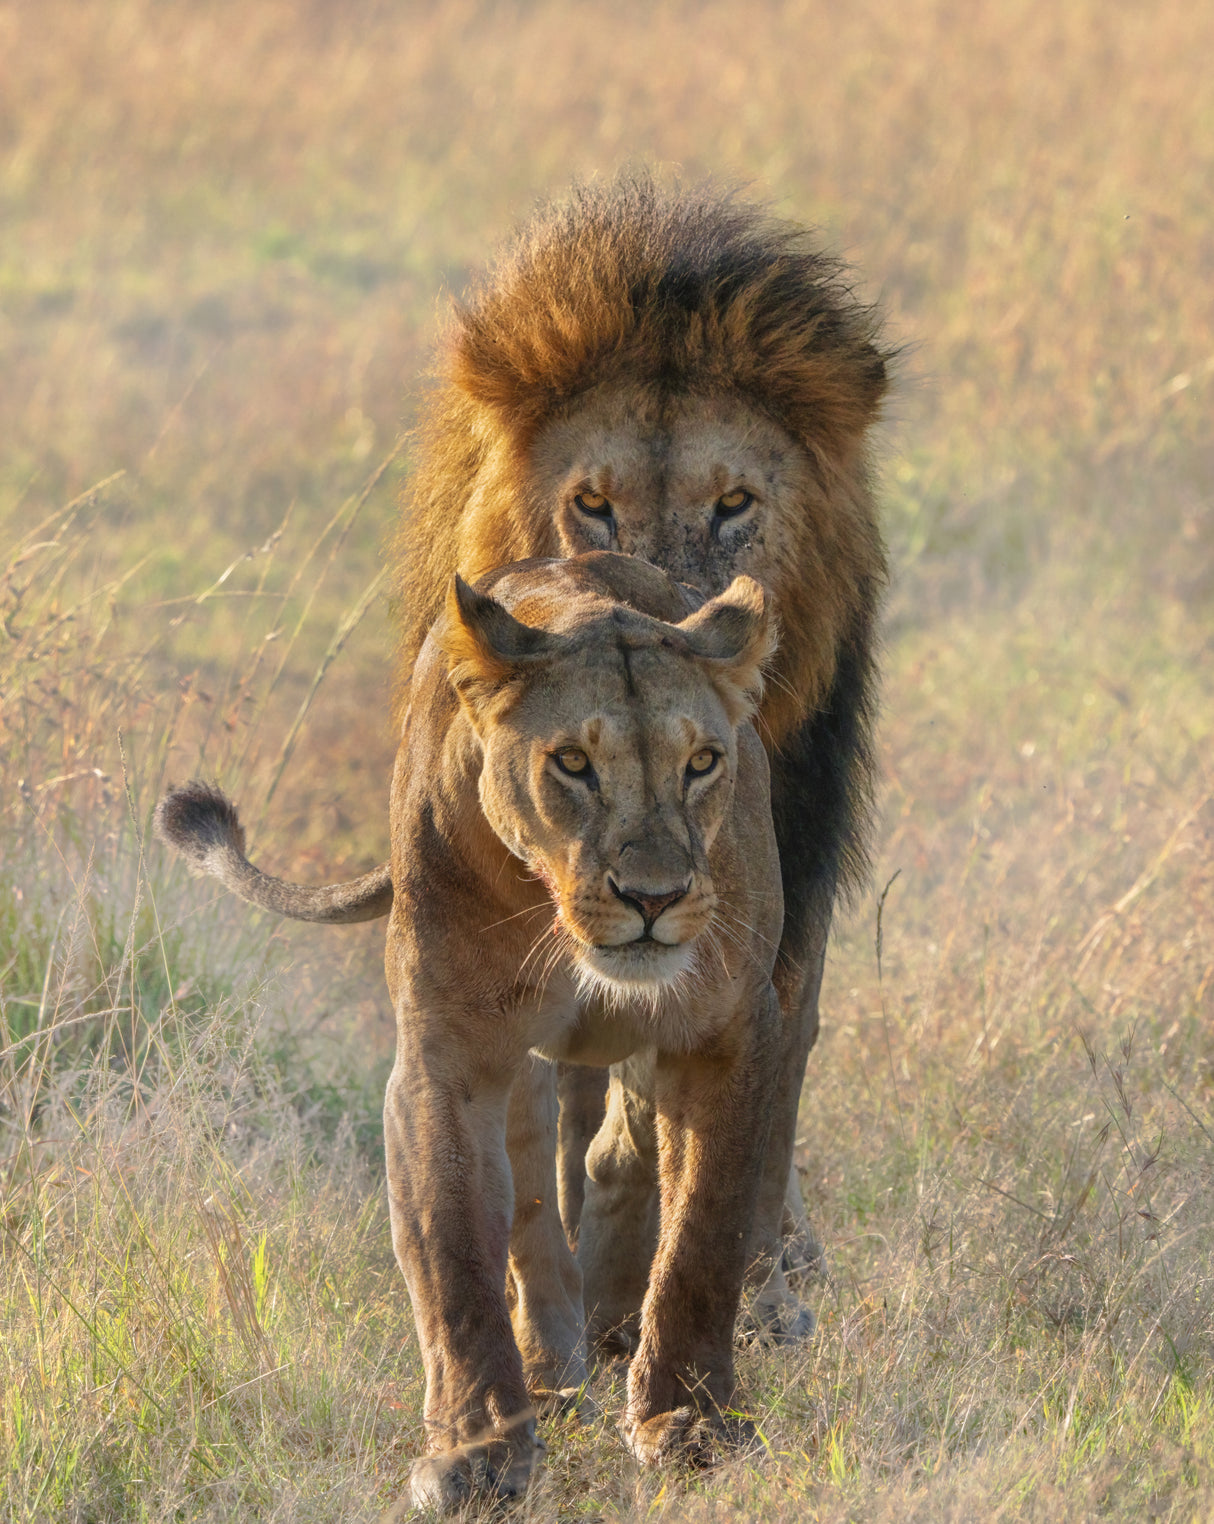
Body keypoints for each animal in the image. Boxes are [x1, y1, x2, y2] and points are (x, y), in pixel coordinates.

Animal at [158, 173, 890, 1340]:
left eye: (733, 505)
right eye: (592, 506)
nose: (674, 633)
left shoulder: (779, 892)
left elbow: (715, 1098)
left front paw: (697, 1284)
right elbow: (538, 1118)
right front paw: (554, 1304)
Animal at [161, 551, 784, 1508]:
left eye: (703, 762)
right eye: (572, 763)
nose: (654, 898)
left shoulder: (724, 1034)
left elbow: (702, 1237)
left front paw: (689, 1422)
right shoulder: (447, 1055)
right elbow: (454, 1252)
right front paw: (479, 1451)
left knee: (621, 1154)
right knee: (532, 1205)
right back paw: (555, 1366)